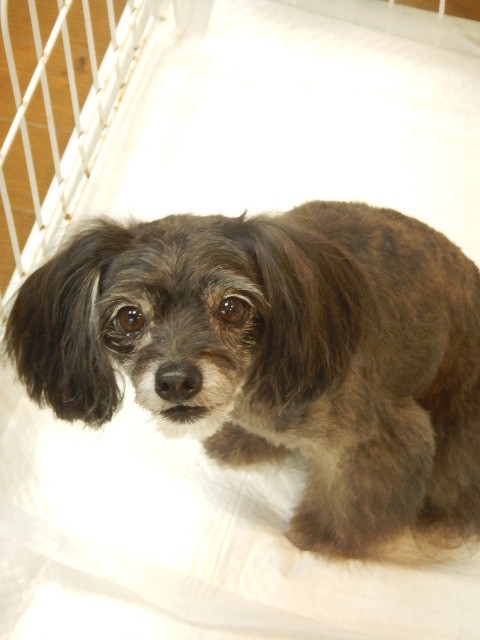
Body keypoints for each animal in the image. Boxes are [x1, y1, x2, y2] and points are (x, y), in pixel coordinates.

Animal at [5, 201, 480, 558]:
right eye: (130, 317)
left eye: (232, 307)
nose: (175, 381)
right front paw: (243, 441)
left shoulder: (379, 437)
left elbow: (353, 497)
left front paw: (324, 535)